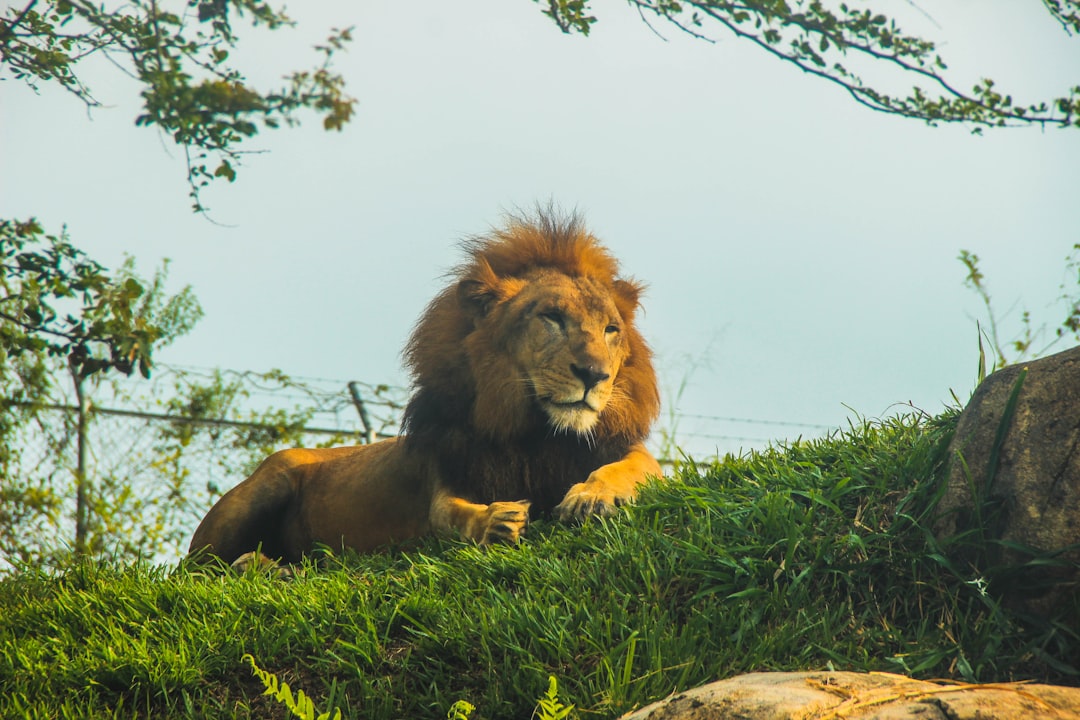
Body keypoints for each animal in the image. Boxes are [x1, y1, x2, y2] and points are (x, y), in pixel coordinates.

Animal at [188, 211, 662, 567]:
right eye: (552, 318)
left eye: (611, 330)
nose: (594, 374)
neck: (535, 433)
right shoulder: (447, 476)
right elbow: (449, 515)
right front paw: (498, 522)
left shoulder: (628, 452)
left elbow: (628, 470)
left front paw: (591, 499)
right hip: (267, 481)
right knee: (198, 571)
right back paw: (258, 567)